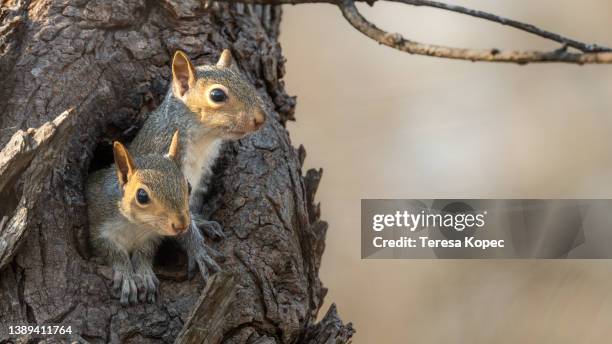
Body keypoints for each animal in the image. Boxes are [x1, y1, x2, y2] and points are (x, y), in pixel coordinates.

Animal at [86, 130, 189, 306]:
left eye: (188, 186)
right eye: (142, 196)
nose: (181, 225)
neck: (136, 225)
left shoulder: (151, 237)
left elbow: (144, 253)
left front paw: (144, 274)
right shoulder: (98, 229)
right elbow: (113, 252)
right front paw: (126, 276)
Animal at [130, 48, 266, 280]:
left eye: (246, 83)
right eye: (217, 95)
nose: (261, 118)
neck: (202, 140)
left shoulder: (204, 171)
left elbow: (193, 204)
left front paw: (201, 221)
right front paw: (199, 251)